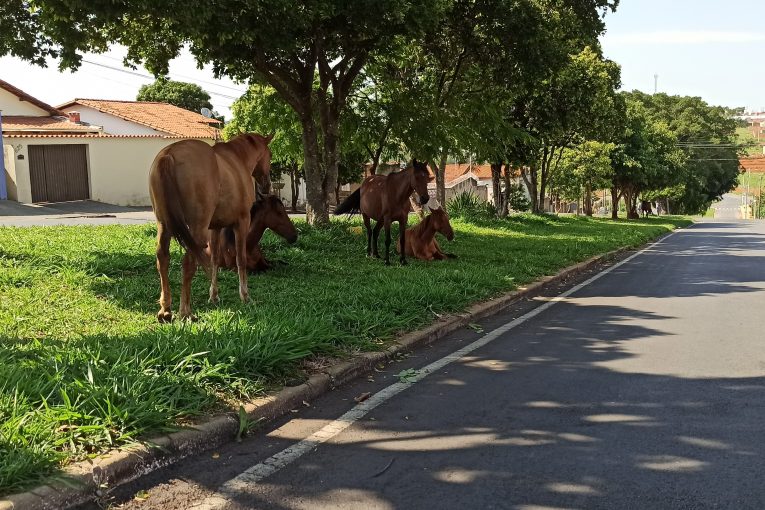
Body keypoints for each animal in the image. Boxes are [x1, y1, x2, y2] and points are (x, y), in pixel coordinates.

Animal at [149, 133, 272, 322]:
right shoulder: (242, 223)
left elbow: (215, 259)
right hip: (197, 227)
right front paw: (245, 295)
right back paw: (186, 311)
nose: (267, 186)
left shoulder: (215, 228)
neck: (238, 159)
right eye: (270, 156)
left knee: (162, 258)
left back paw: (166, 310)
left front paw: (213, 296)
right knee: (188, 262)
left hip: (164, 225)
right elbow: (241, 259)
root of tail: (169, 154)